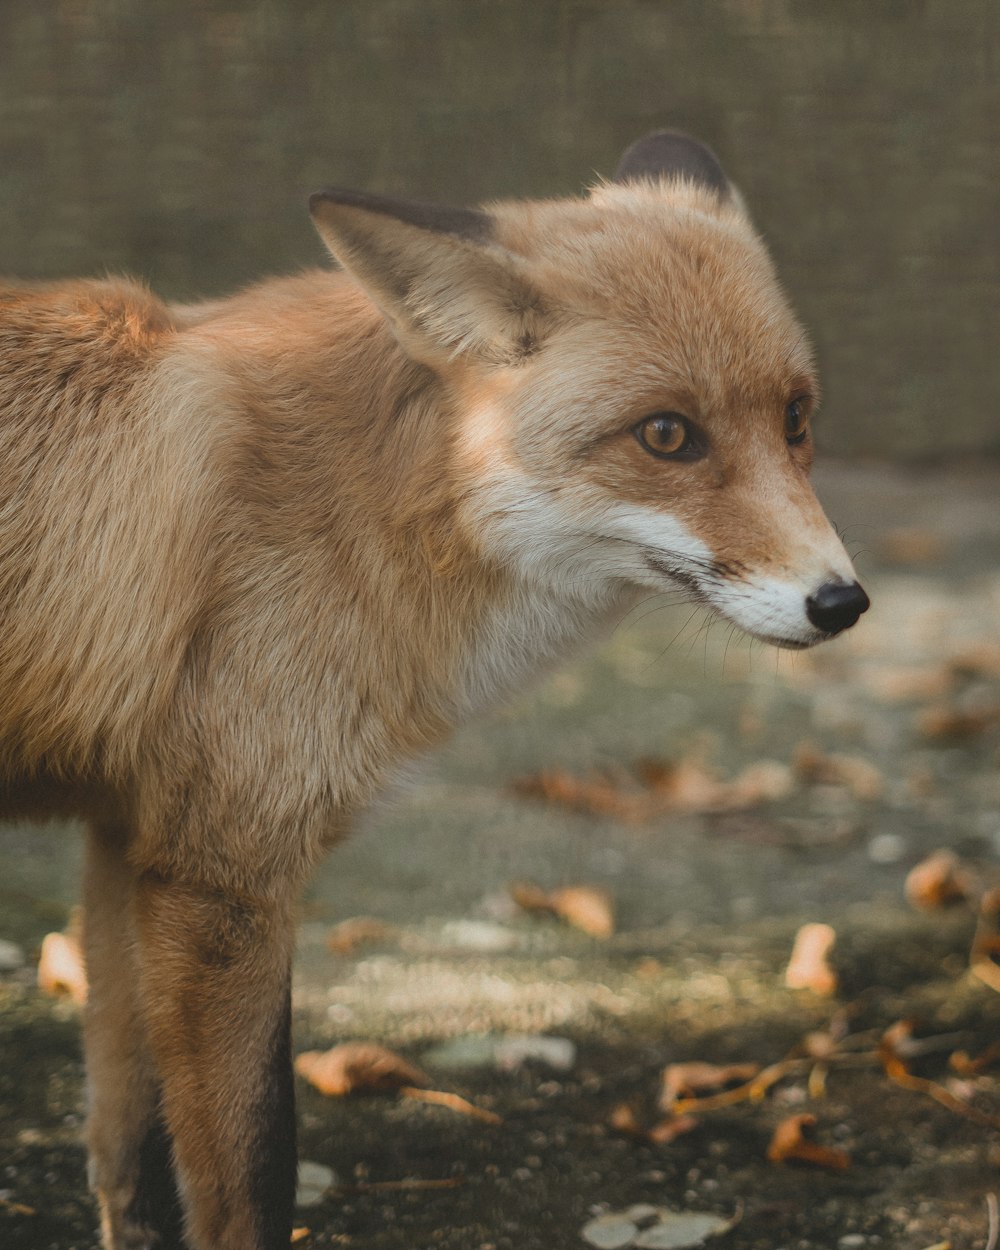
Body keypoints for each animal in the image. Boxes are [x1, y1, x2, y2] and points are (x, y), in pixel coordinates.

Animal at [0, 131, 865, 1245]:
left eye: (795, 417)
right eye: (667, 435)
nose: (843, 602)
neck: (369, 494)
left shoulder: (127, 841)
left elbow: (131, 1161)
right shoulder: (220, 872)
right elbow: (252, 1170)